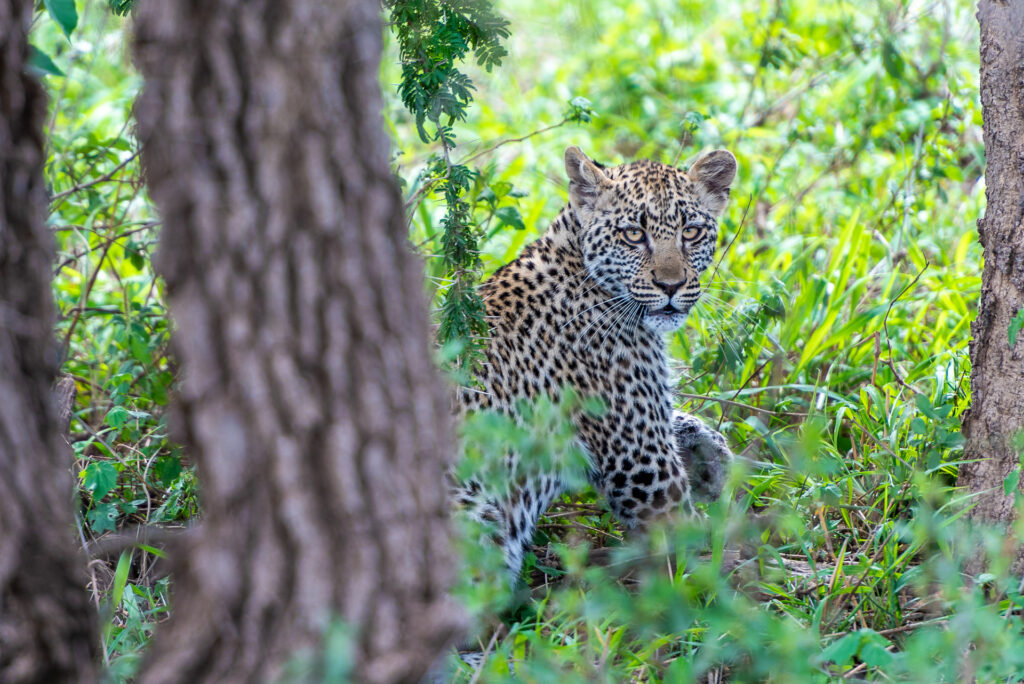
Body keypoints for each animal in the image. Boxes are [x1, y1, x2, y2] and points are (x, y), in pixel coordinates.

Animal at [454, 145, 737, 581]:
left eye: (690, 232)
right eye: (633, 234)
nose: (670, 286)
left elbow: (677, 414)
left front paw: (714, 455)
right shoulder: (644, 469)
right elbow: (695, 533)